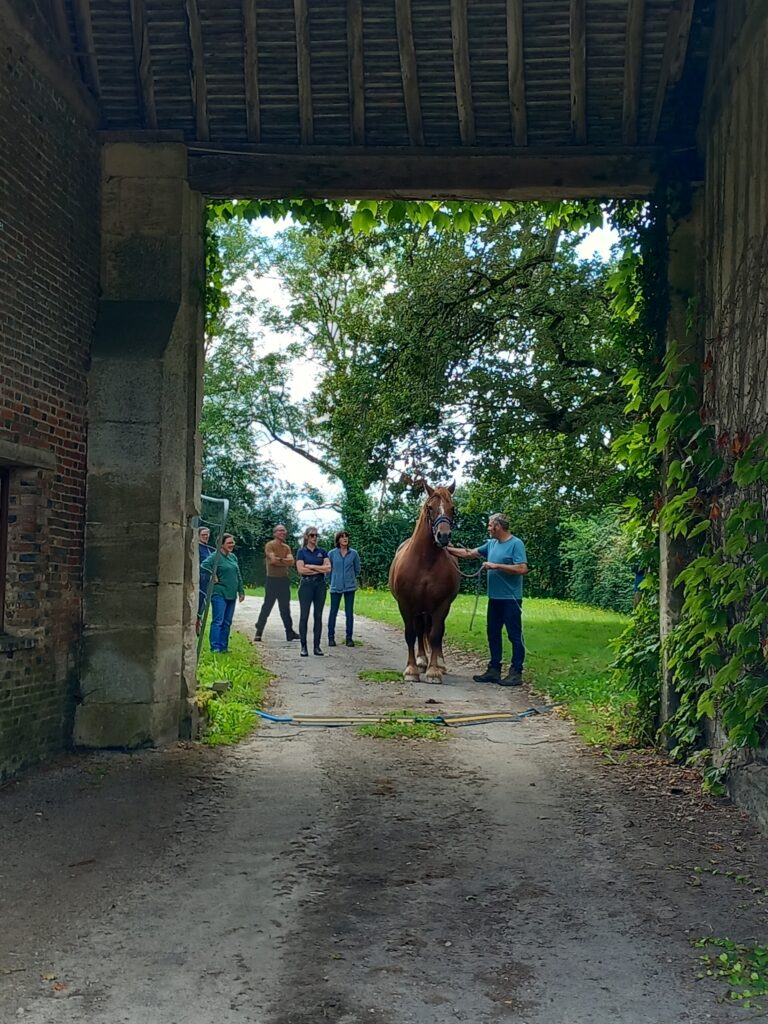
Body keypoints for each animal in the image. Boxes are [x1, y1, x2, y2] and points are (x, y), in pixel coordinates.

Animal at [387, 481, 460, 688]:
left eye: (453, 508)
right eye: (429, 507)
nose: (443, 536)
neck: (426, 562)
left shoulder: (442, 605)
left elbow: (435, 635)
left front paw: (434, 671)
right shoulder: (405, 604)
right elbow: (411, 634)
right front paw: (411, 670)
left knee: (434, 631)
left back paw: (439, 664)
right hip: (419, 608)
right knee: (420, 631)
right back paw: (420, 661)